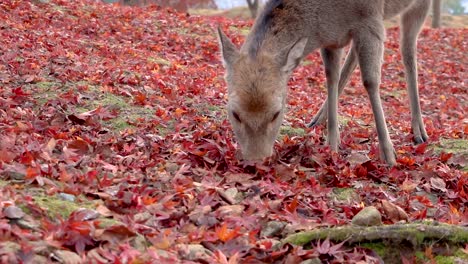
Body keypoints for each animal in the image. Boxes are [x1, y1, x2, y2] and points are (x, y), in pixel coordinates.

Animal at [218, 0, 430, 165]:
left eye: (276, 113)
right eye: (235, 113)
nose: (256, 160)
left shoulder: (370, 20)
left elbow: (370, 81)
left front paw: (388, 155)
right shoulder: (332, 39)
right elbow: (331, 77)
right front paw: (332, 145)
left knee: (408, 52)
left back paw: (419, 131)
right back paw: (318, 119)